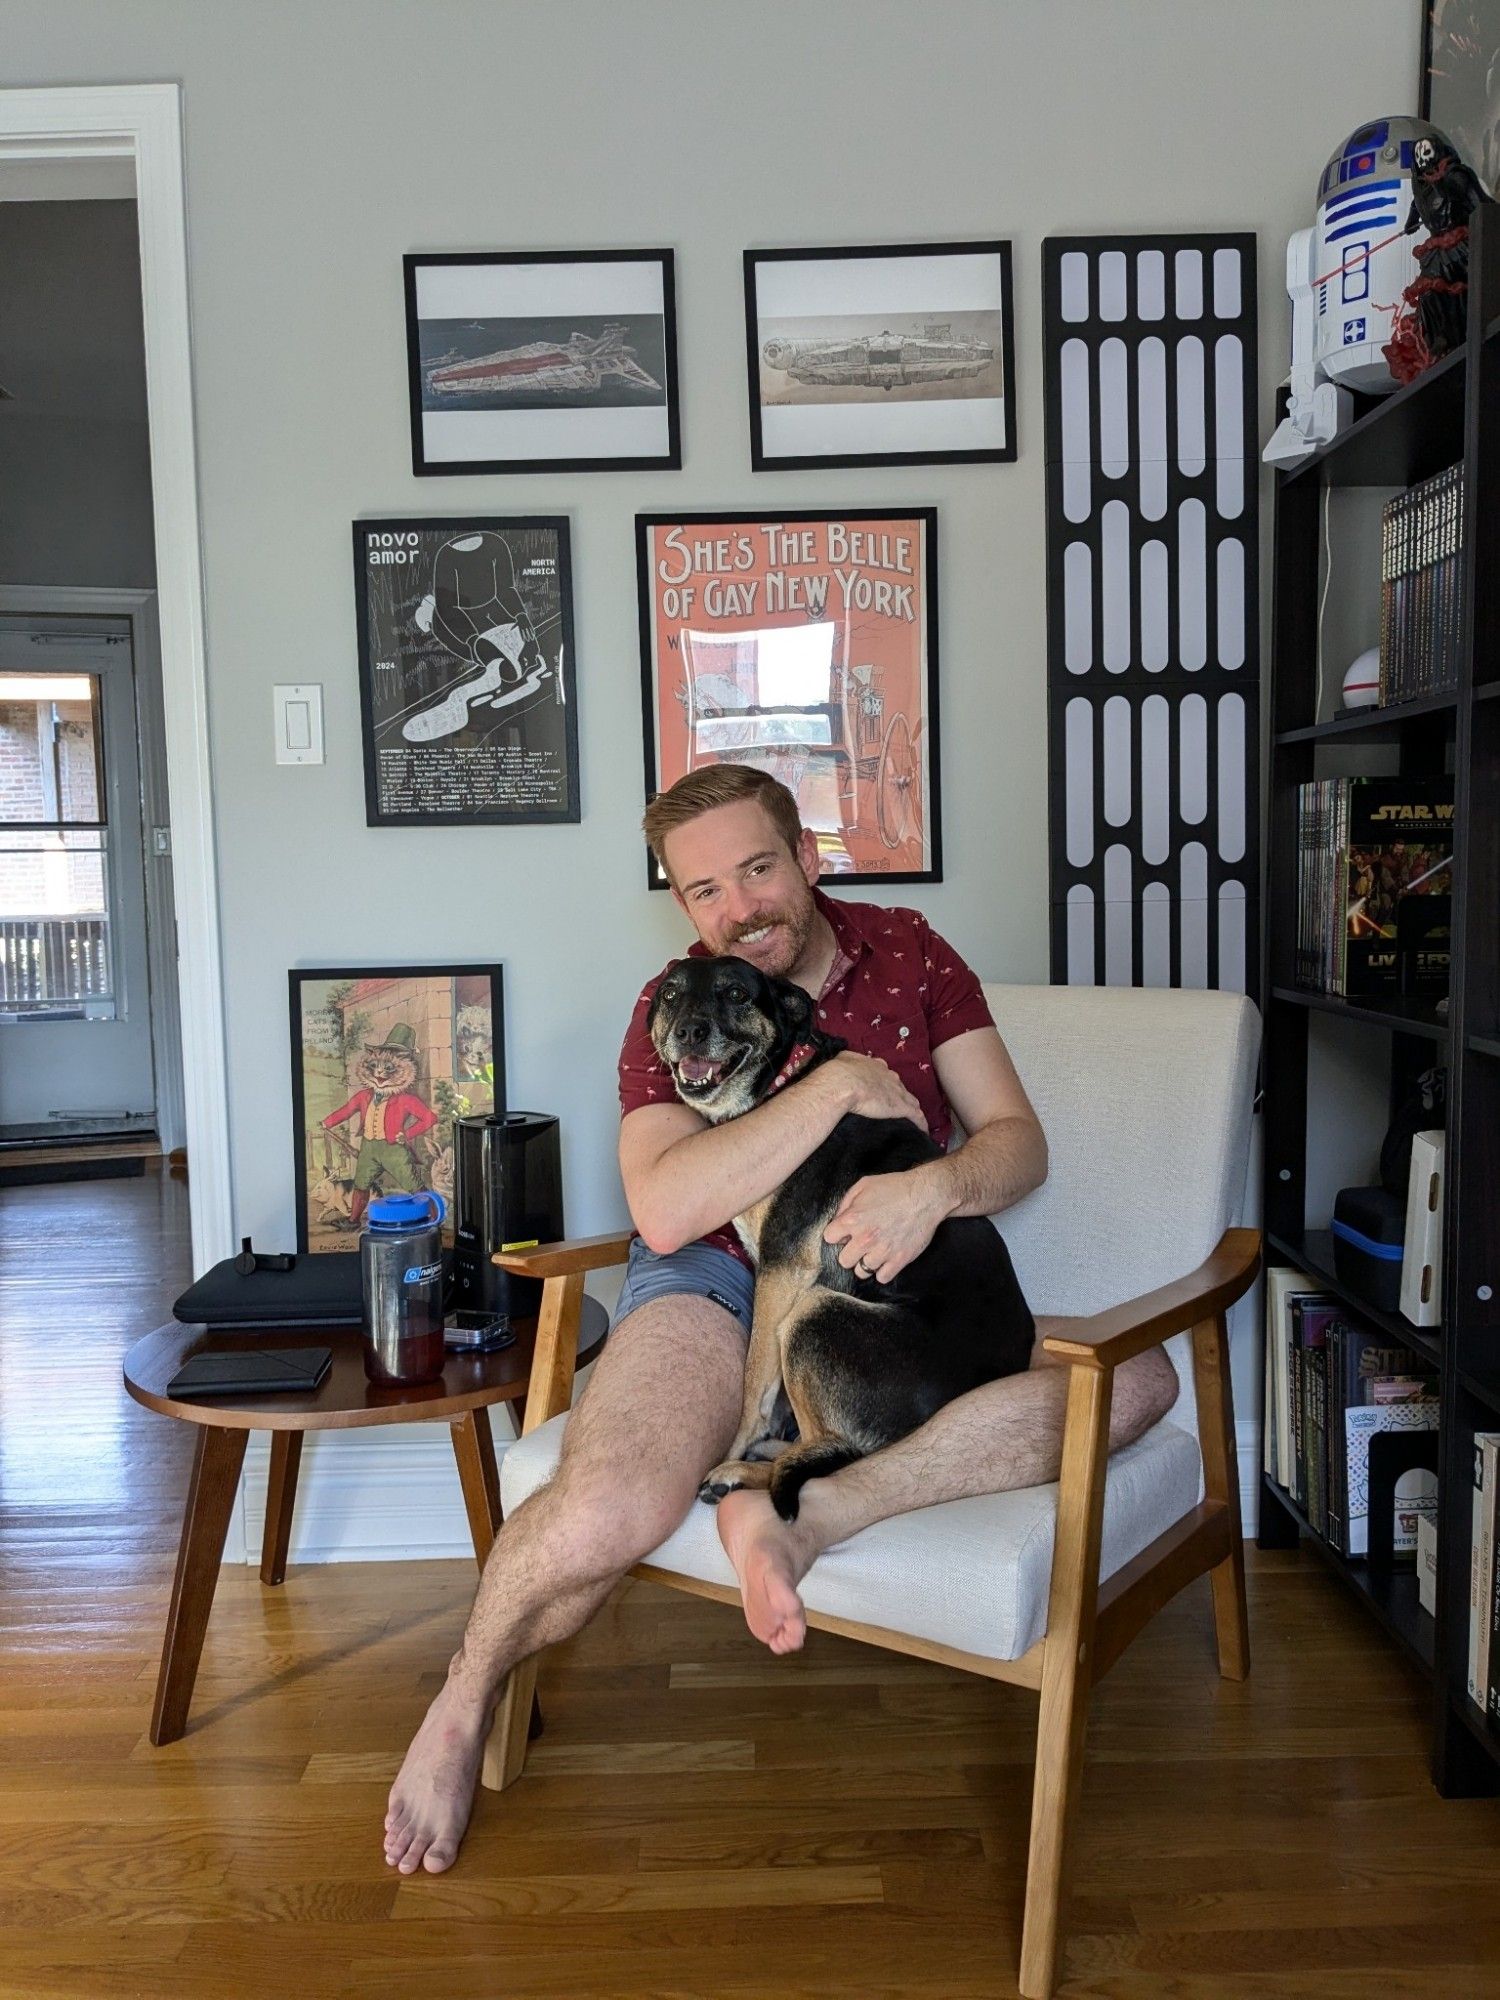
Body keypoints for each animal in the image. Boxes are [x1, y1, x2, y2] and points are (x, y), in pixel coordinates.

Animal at [652, 952, 1040, 1512]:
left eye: (736, 994)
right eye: (669, 994)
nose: (688, 1032)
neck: (780, 1083)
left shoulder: (782, 1269)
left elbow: (754, 1381)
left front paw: (736, 1447)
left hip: (814, 1313)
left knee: (830, 1453)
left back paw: (740, 1471)